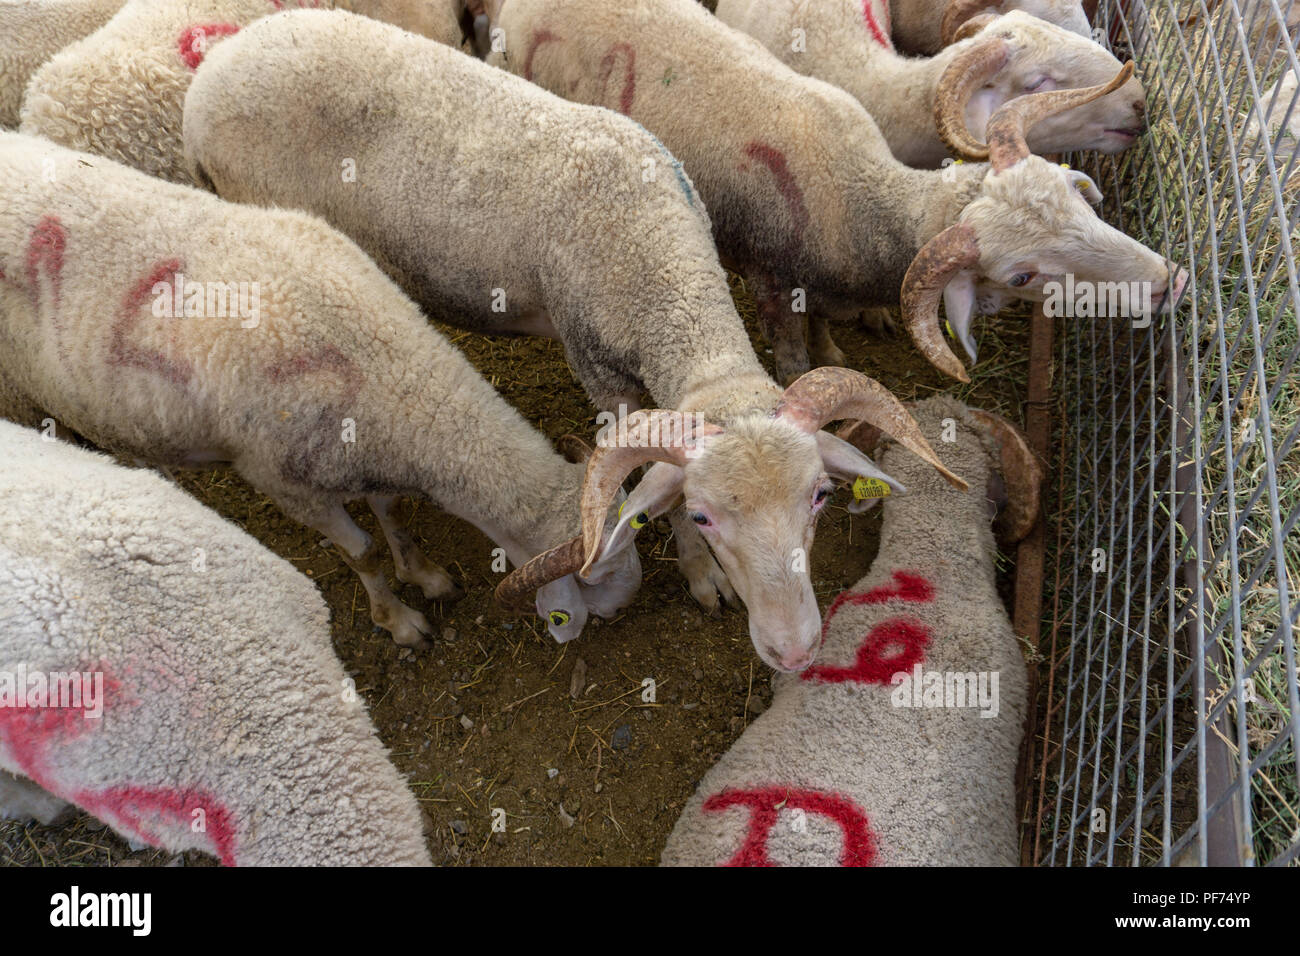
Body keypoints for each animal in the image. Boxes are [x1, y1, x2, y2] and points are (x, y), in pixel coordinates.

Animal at [0, 129, 642, 649]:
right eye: (593, 574)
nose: (624, 610)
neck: (382, 367)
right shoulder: (284, 484)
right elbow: (361, 553)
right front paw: (399, 621)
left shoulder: (364, 453)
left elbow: (392, 511)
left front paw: (423, 574)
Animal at [180, 9, 963, 674]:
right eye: (706, 515)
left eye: (820, 498)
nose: (795, 650)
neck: (657, 256)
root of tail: (215, 69)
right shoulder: (600, 372)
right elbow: (650, 492)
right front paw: (702, 577)